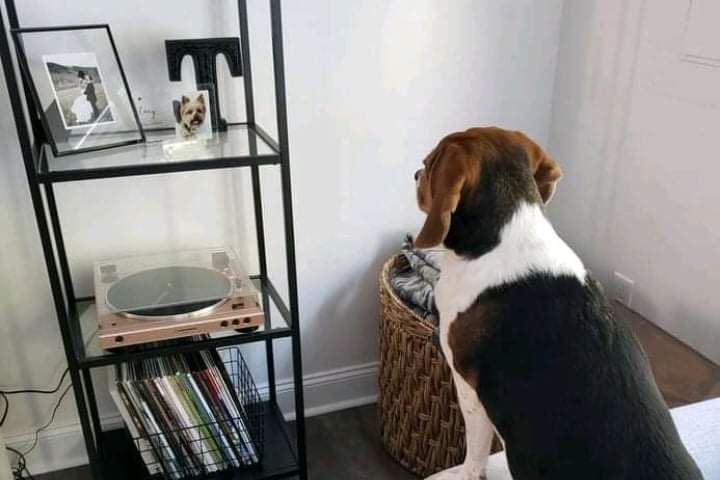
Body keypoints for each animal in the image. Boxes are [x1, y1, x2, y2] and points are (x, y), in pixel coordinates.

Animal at [416, 128, 704, 480]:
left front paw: (464, 473)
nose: (415, 174)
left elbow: (475, 455)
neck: (504, 237)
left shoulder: (469, 390)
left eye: (427, 164)